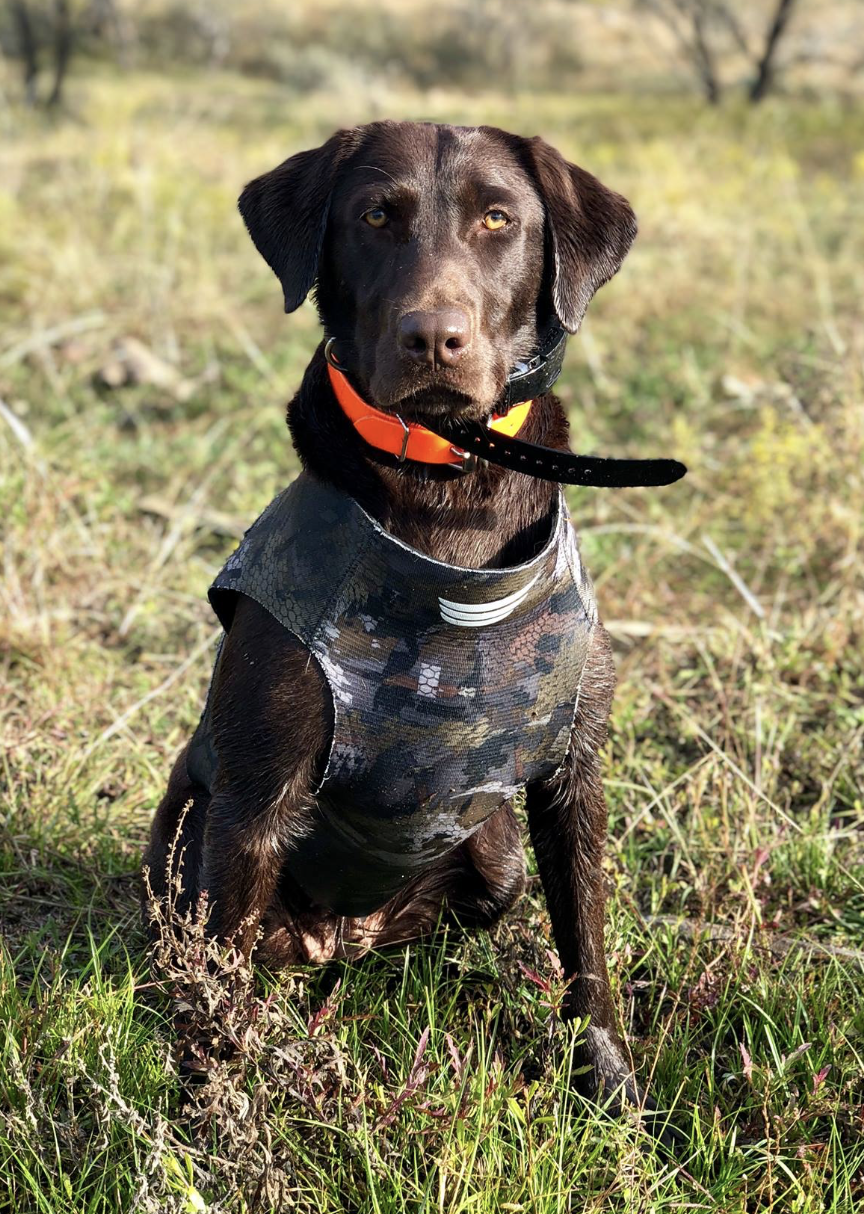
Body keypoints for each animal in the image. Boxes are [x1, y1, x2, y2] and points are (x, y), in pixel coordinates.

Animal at [145, 120, 669, 1126]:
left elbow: (587, 950)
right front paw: (209, 1121)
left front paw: (610, 1088)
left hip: (497, 860)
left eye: (499, 219)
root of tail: (344, 939)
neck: (445, 495)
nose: (433, 337)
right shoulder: (251, 804)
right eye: (375, 217)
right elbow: (218, 996)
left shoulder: (573, 776)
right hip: (184, 839)